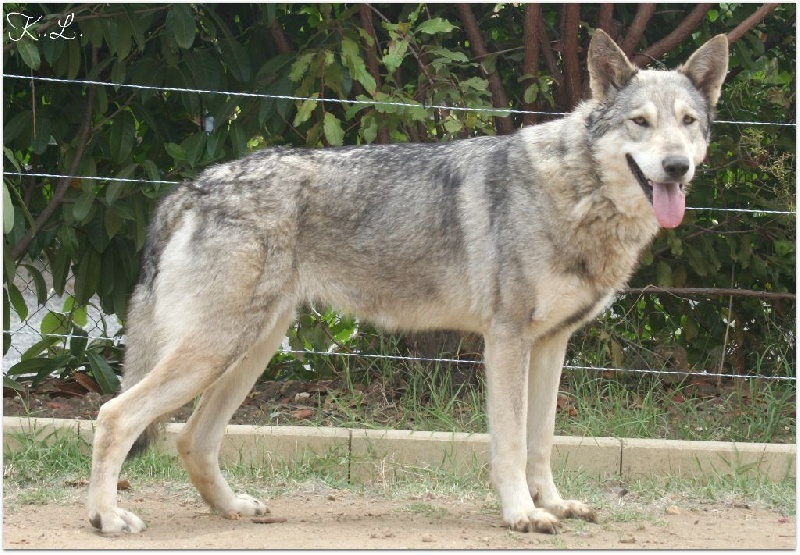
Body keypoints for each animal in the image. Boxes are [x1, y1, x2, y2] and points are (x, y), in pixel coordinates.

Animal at [88, 30, 728, 535]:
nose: (676, 167)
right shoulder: (507, 341)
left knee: (192, 439)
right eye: (640, 123)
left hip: (250, 352)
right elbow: (512, 443)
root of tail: (190, 187)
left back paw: (232, 510)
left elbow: (542, 441)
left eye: (688, 123)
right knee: (115, 415)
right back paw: (106, 518)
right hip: (218, 350)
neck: (576, 192)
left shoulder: (552, 345)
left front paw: (554, 504)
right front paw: (522, 514)